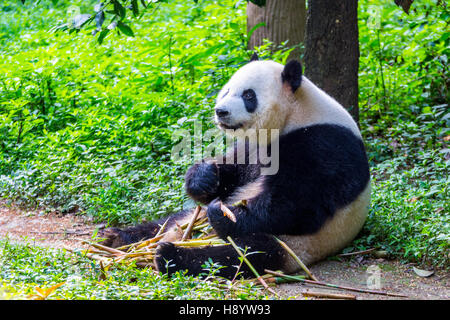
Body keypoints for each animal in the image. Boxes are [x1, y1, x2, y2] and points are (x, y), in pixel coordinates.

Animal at [100, 55, 370, 280]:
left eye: (249, 95)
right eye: (227, 90)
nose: (221, 111)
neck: (295, 113)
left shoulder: (322, 144)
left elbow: (295, 207)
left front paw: (222, 212)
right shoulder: (254, 146)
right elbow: (233, 170)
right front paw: (205, 179)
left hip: (296, 246)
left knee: (244, 254)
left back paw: (170, 256)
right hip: (185, 220)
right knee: (163, 223)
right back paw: (117, 238)